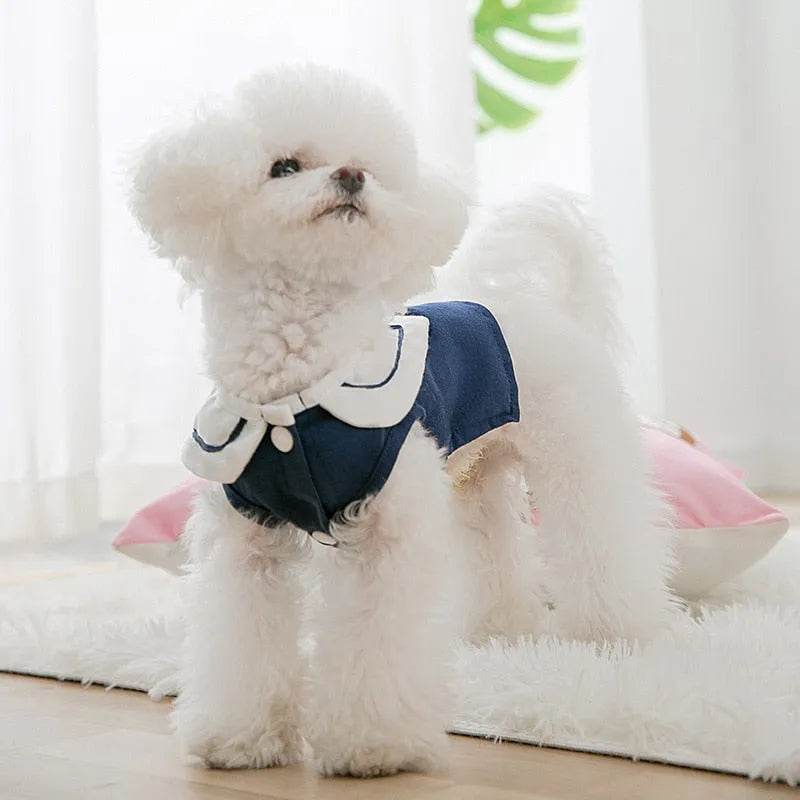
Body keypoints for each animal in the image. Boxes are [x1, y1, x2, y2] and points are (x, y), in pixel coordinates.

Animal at [130, 65, 676, 780]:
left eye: (369, 168)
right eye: (284, 166)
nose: (351, 177)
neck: (293, 392)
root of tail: (550, 308)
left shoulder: (382, 533)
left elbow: (374, 644)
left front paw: (372, 747)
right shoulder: (249, 543)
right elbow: (243, 643)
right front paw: (240, 738)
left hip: (578, 459)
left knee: (603, 544)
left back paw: (615, 639)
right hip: (473, 480)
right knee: (494, 551)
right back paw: (499, 634)